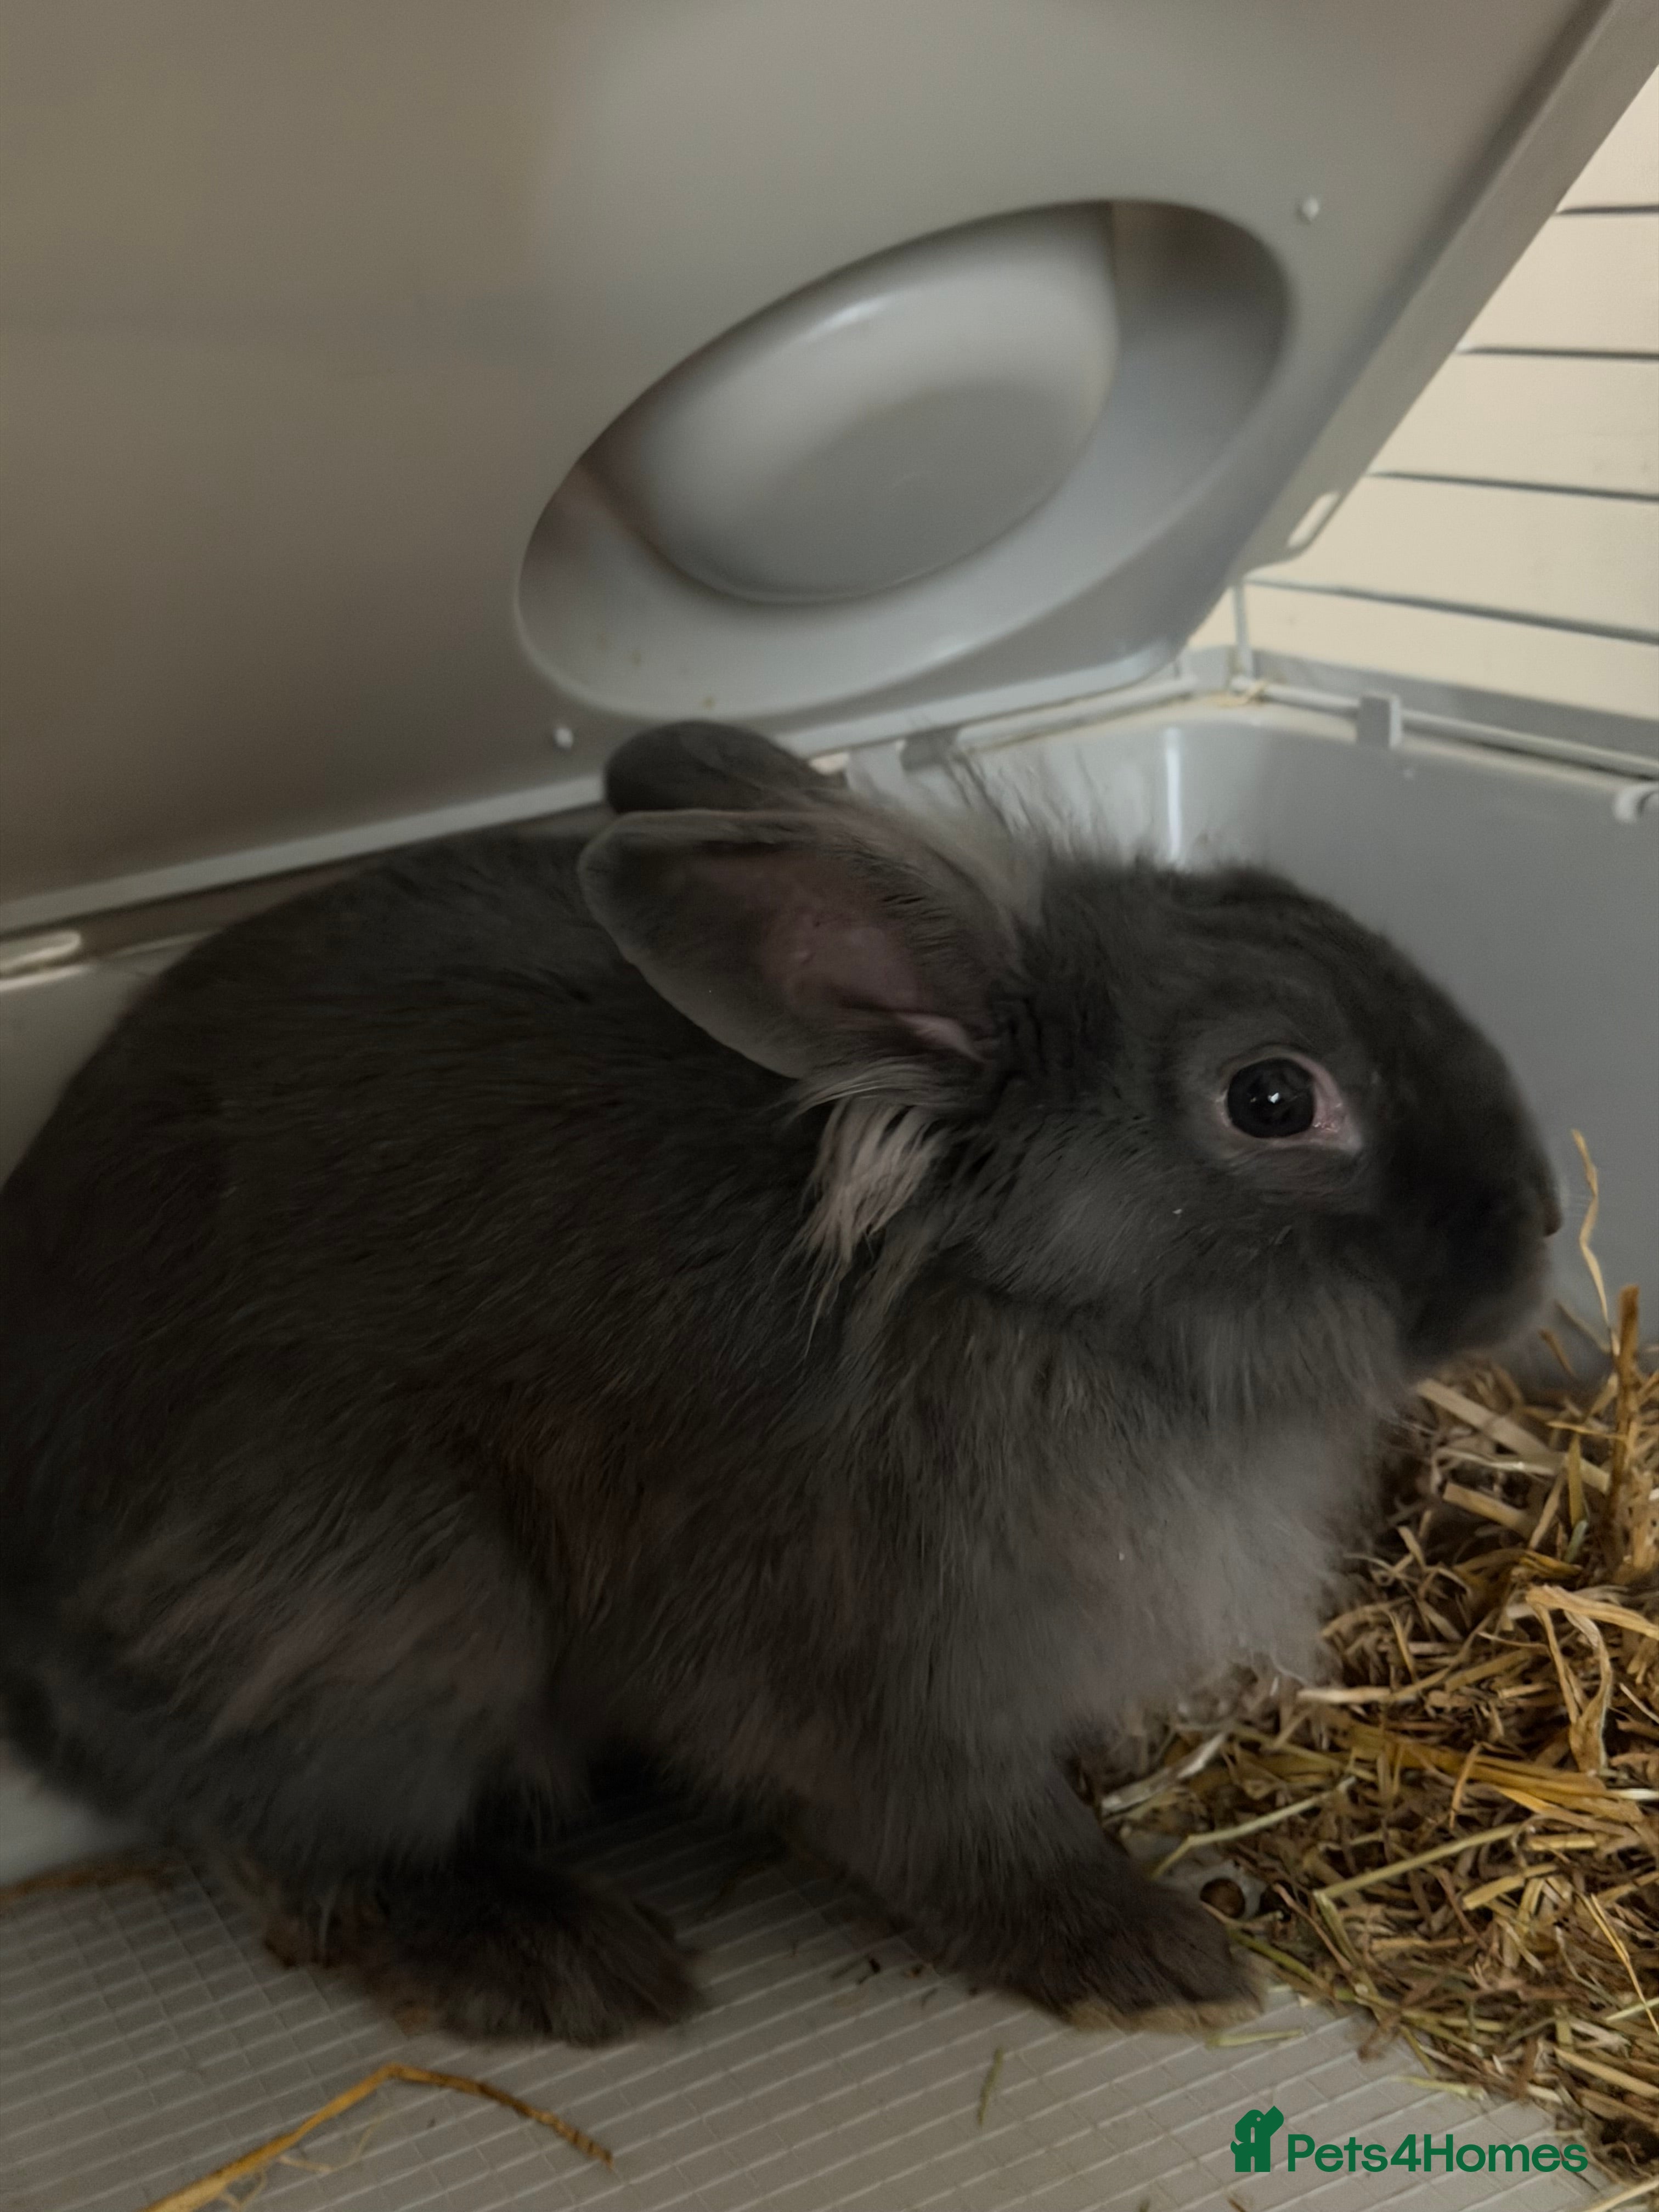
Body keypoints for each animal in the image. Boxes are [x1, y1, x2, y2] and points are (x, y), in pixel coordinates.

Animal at [0, 720, 1558, 2044]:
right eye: (1274, 1099)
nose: (1537, 1229)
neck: (1008, 1302)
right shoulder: (884, 1688)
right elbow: (971, 1838)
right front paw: (1149, 1962)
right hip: (379, 1602)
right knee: (302, 1840)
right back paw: (560, 1959)